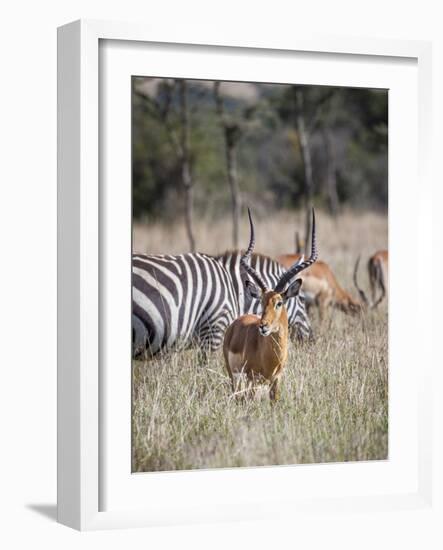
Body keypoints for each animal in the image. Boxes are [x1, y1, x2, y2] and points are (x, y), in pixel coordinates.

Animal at [224, 209, 318, 404]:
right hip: (235, 377)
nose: (263, 326)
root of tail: (236, 322)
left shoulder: (276, 381)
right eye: (261, 301)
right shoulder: (252, 379)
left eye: (279, 302)